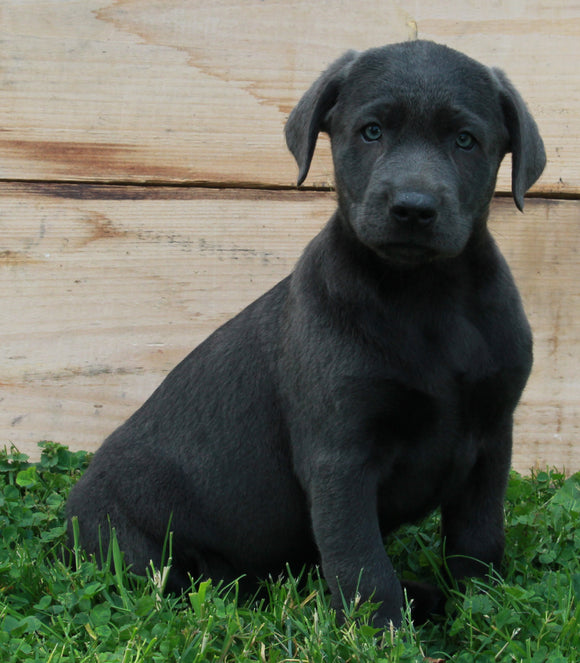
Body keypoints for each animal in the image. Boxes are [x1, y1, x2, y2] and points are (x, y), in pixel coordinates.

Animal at [65, 40, 548, 628]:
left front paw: (480, 608)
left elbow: (478, 539)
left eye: (464, 140)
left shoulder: (491, 437)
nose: (412, 208)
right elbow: (360, 562)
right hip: (132, 542)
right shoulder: (340, 456)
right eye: (371, 131)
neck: (426, 295)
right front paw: (384, 633)